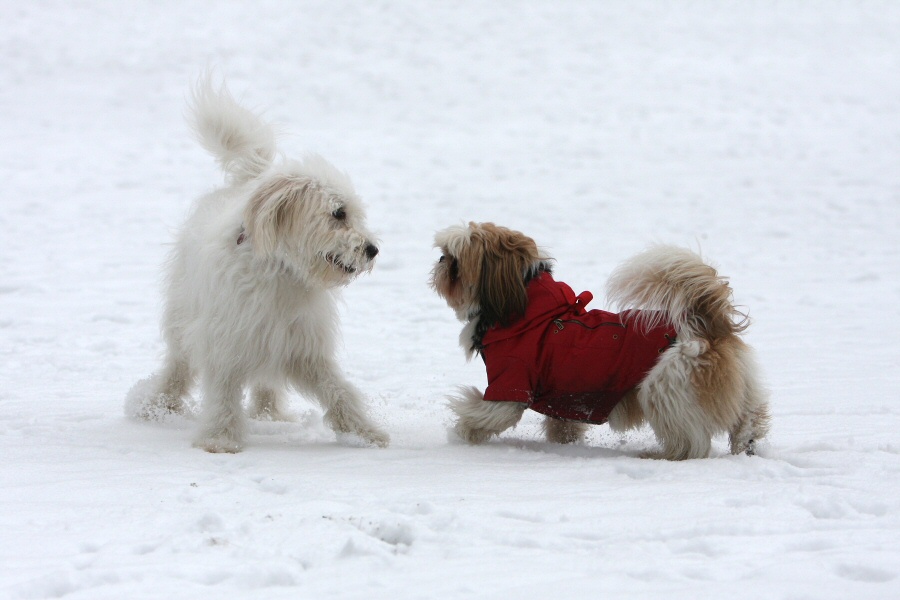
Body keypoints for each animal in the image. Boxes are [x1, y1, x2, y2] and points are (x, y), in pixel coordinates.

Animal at [125, 77, 386, 452]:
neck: (282, 273)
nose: (372, 250)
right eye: (339, 213)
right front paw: (220, 439)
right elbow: (222, 394)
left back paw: (268, 415)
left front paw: (365, 433)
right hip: (182, 316)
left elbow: (339, 390)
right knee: (178, 366)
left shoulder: (303, 344)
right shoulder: (224, 339)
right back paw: (158, 404)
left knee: (266, 382)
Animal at [432, 223, 768, 462]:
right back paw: (746, 444)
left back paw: (664, 455)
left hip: (667, 388)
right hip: (741, 389)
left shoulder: (510, 385)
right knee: (748, 421)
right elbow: (563, 425)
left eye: (455, 262)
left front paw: (462, 433)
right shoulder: (565, 399)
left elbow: (482, 413)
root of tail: (708, 325)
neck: (525, 310)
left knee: (691, 442)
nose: (441, 260)